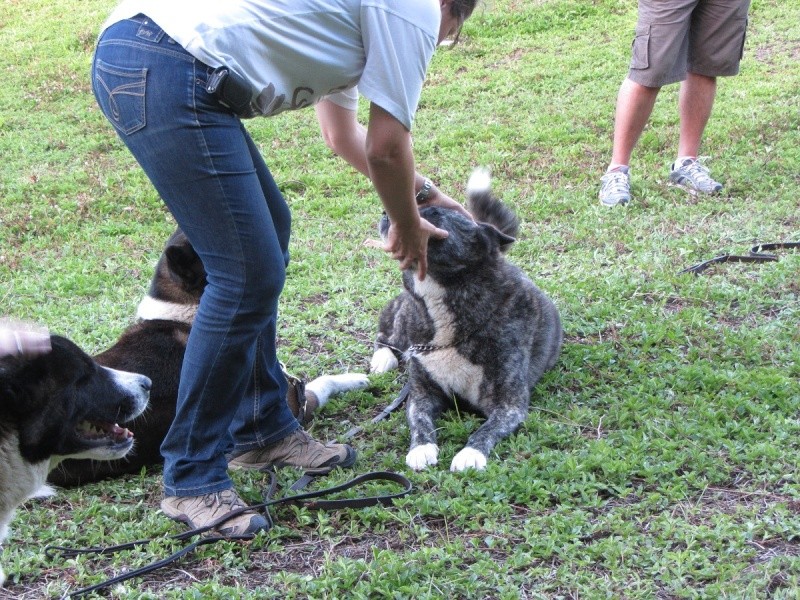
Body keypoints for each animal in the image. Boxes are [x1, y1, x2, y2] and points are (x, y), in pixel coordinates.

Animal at [370, 169, 564, 474]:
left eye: (434, 215)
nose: (387, 213)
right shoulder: (422, 393)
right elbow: (419, 420)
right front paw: (421, 448)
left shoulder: (509, 404)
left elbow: (487, 429)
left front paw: (471, 453)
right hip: (405, 319)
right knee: (386, 334)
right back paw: (383, 358)